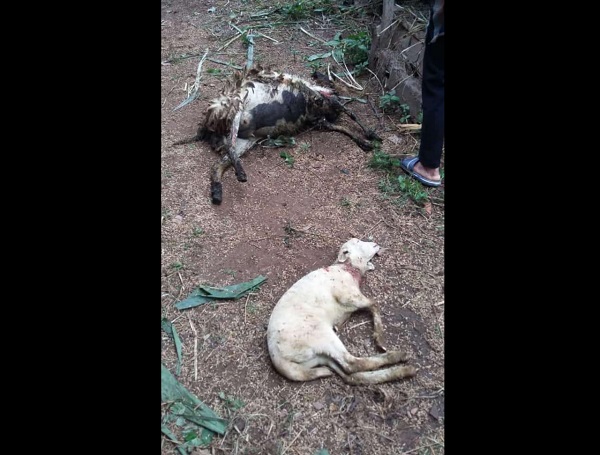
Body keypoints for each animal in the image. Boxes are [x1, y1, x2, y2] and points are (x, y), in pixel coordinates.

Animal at [175, 66, 380, 205]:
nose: (315, 72)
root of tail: (205, 126)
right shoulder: (318, 98)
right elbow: (349, 113)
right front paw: (370, 135)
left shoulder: (320, 119)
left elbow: (343, 123)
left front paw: (365, 140)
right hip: (236, 105)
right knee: (229, 147)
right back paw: (240, 174)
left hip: (243, 140)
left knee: (218, 163)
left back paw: (218, 191)